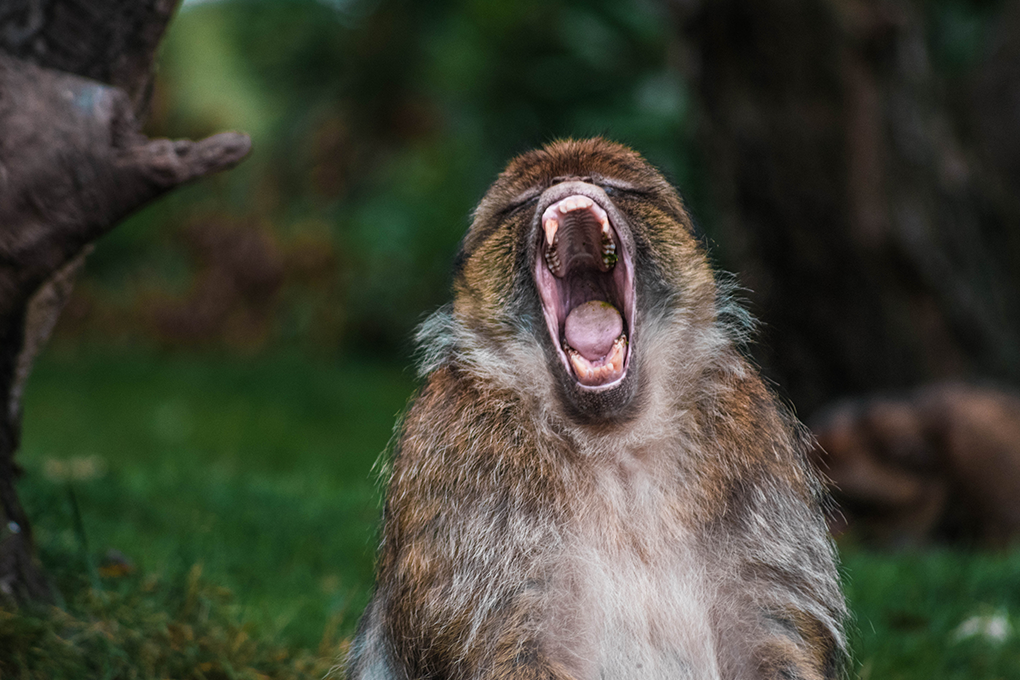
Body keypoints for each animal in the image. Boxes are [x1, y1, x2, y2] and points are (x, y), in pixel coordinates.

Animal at [342, 139, 844, 680]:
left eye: (618, 186)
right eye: (523, 199)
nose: (568, 184)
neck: (614, 442)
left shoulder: (755, 447)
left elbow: (772, 635)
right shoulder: (453, 459)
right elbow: (508, 644)